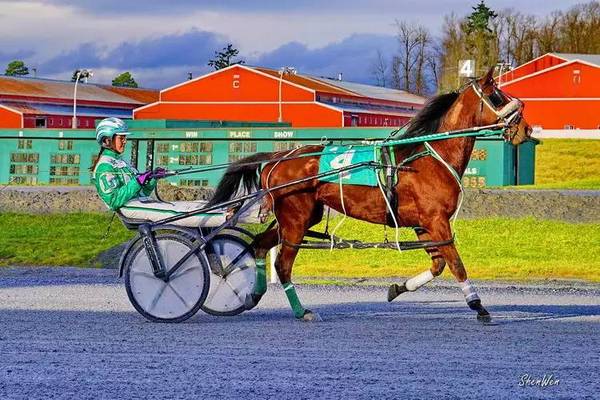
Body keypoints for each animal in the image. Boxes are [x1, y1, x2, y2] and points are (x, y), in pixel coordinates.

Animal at [209, 68, 532, 322]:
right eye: (497, 97)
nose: (526, 129)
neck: (430, 157)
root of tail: (277, 157)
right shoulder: (437, 220)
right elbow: (455, 264)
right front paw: (478, 305)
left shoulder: (423, 224)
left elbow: (438, 264)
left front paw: (397, 288)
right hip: (295, 220)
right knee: (282, 265)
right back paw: (303, 311)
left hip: (297, 217)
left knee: (260, 246)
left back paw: (253, 294)